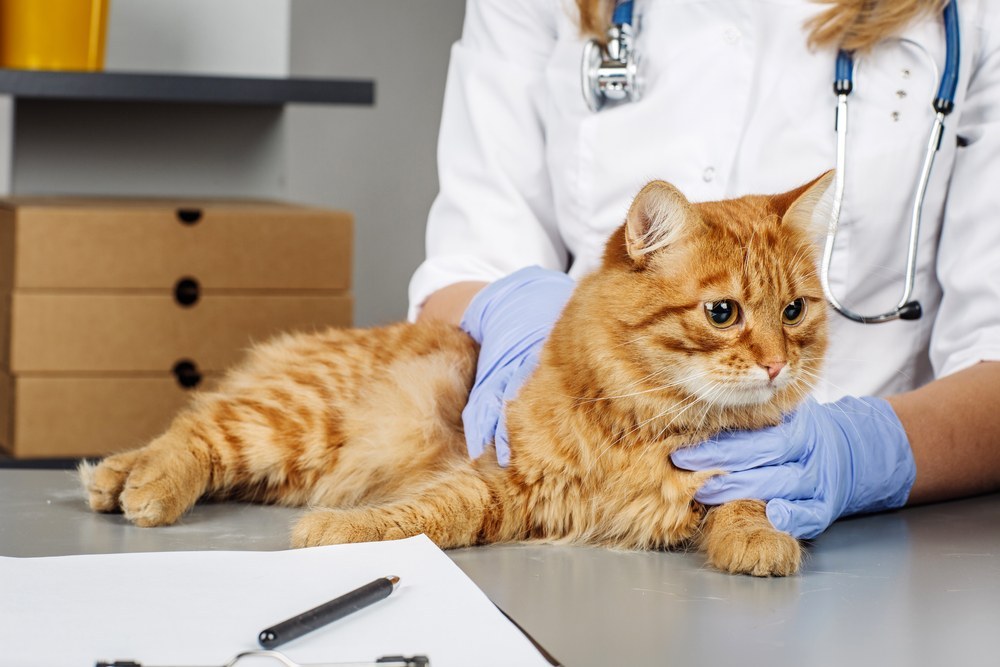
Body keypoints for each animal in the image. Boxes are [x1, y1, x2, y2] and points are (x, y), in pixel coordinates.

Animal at [78, 172, 832, 580]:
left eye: (794, 310)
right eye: (722, 312)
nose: (776, 362)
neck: (656, 428)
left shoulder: (737, 474)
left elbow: (749, 500)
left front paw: (760, 538)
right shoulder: (501, 478)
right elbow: (419, 516)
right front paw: (338, 533)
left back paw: (113, 478)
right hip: (295, 425)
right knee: (194, 430)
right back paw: (141, 486)